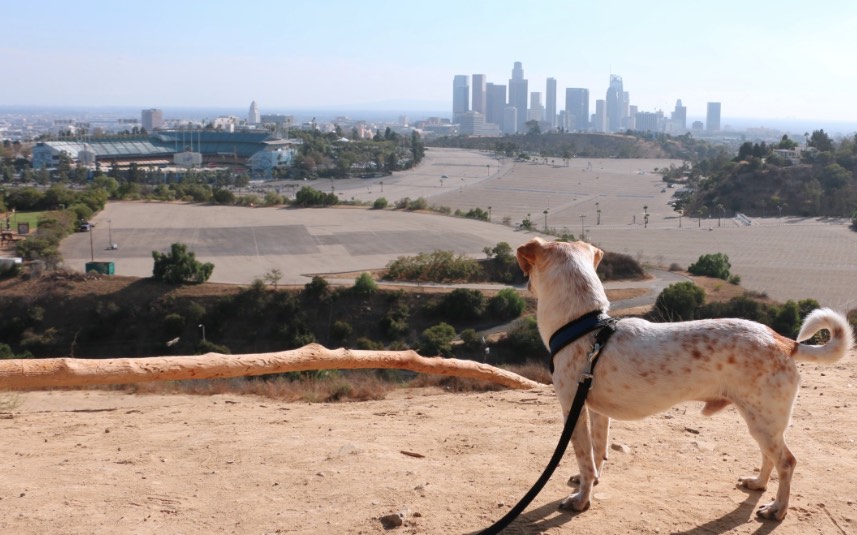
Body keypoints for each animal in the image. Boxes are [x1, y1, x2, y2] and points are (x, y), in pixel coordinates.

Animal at [516, 238, 848, 520]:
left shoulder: (574, 409)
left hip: (764, 422)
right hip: (761, 422)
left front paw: (582, 500)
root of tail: (784, 342)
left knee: (787, 462)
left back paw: (777, 509)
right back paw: (757, 483)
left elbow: (584, 459)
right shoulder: (597, 411)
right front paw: (594, 479)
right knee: (771, 458)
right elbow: (598, 452)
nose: (525, 284)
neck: (587, 326)